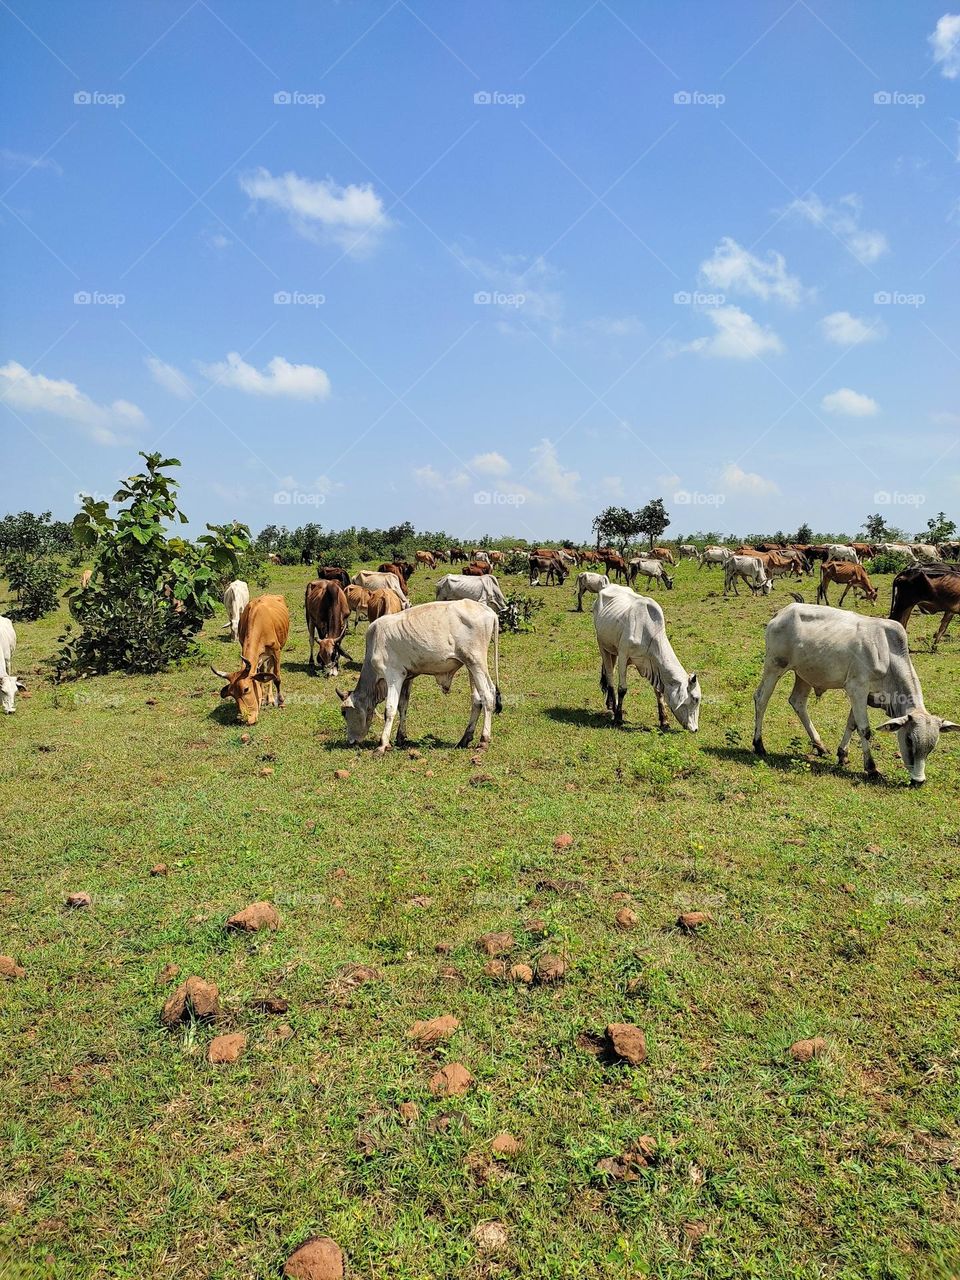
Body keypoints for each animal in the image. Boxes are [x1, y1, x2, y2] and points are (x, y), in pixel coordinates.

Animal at [211, 594, 291, 725]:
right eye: (232, 694)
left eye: (246, 689)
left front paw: (281, 702)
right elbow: (260, 678)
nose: (246, 719)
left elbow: (277, 678)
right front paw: (261, 699)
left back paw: (271, 699)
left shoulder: (276, 651)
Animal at [336, 600, 502, 755]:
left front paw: (382, 745)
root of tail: (488, 611)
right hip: (470, 666)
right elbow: (403, 705)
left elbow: (390, 710)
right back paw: (464, 739)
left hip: (476, 663)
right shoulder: (407, 677)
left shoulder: (393, 675)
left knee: (488, 696)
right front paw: (400, 737)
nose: (351, 742)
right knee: (477, 699)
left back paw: (483, 741)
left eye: (344, 713)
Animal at [593, 585, 700, 730]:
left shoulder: (653, 666)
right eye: (695, 699)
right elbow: (622, 689)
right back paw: (613, 708)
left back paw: (610, 703)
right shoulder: (623, 655)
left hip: (612, 649)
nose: (695, 729)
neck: (647, 633)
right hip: (602, 645)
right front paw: (618, 718)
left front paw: (664, 720)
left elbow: (659, 692)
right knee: (609, 675)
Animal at [753, 602, 958, 785]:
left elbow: (852, 724)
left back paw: (820, 745)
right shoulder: (856, 689)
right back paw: (759, 745)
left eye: (932, 747)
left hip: (804, 674)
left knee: (798, 702)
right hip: (774, 666)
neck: (887, 655)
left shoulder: (865, 696)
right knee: (761, 699)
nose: (918, 781)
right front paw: (871, 768)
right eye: (909, 740)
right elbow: (865, 730)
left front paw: (842, 754)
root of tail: (781, 612)